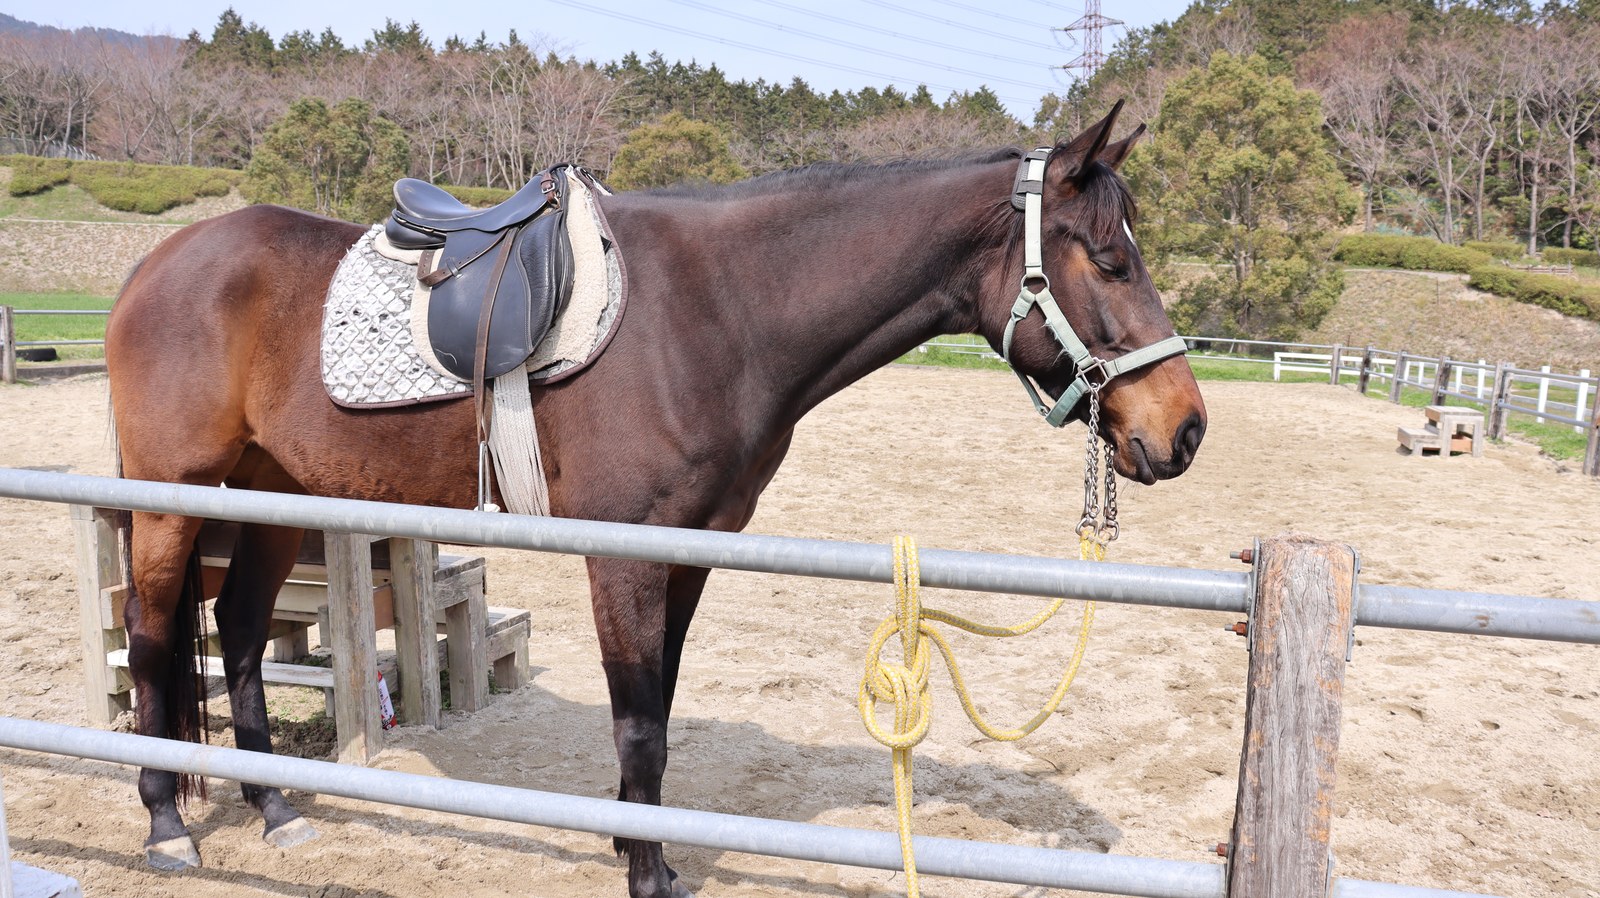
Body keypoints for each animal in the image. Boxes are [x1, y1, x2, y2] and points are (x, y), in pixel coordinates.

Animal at [103, 103, 1206, 898]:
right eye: (1111, 257)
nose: (1185, 429)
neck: (717, 311)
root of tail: (157, 264)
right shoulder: (625, 553)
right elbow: (637, 722)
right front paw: (645, 874)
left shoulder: (690, 551)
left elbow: (660, 712)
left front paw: (653, 852)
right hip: (172, 496)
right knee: (156, 638)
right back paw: (164, 825)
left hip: (270, 495)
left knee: (242, 633)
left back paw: (276, 810)